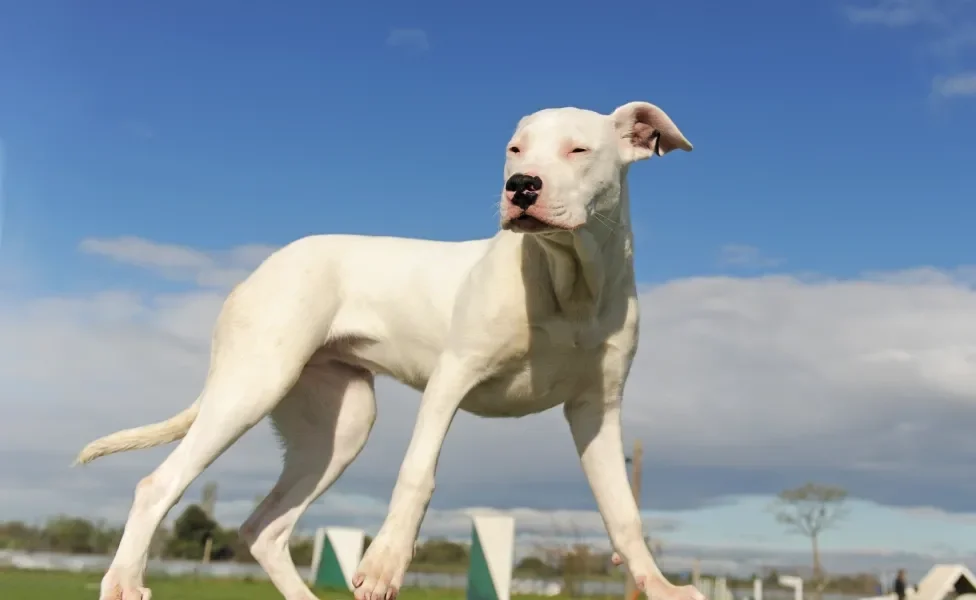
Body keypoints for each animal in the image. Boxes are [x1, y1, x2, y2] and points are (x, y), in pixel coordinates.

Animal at [78, 101, 700, 600]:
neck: (568, 283)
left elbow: (623, 511)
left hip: (339, 426)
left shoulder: (598, 410)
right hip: (253, 386)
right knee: (159, 484)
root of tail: (261, 268)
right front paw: (383, 565)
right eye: (515, 149)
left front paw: (661, 587)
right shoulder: (451, 380)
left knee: (265, 529)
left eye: (578, 149)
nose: (521, 186)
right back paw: (124, 581)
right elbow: (417, 474)